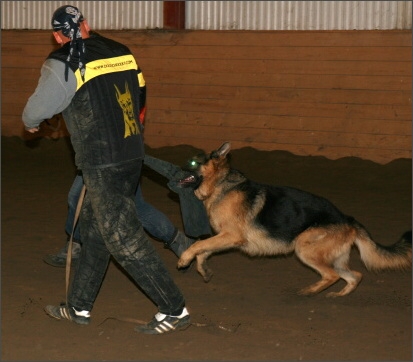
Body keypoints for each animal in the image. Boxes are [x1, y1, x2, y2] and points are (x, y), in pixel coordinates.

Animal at [175, 141, 410, 296]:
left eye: (193, 163)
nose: (175, 173)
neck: (221, 185)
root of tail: (347, 219)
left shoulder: (231, 236)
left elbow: (197, 245)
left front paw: (184, 259)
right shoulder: (226, 238)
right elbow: (203, 251)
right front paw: (203, 271)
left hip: (304, 248)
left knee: (331, 275)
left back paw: (307, 292)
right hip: (334, 257)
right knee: (355, 276)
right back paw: (337, 296)